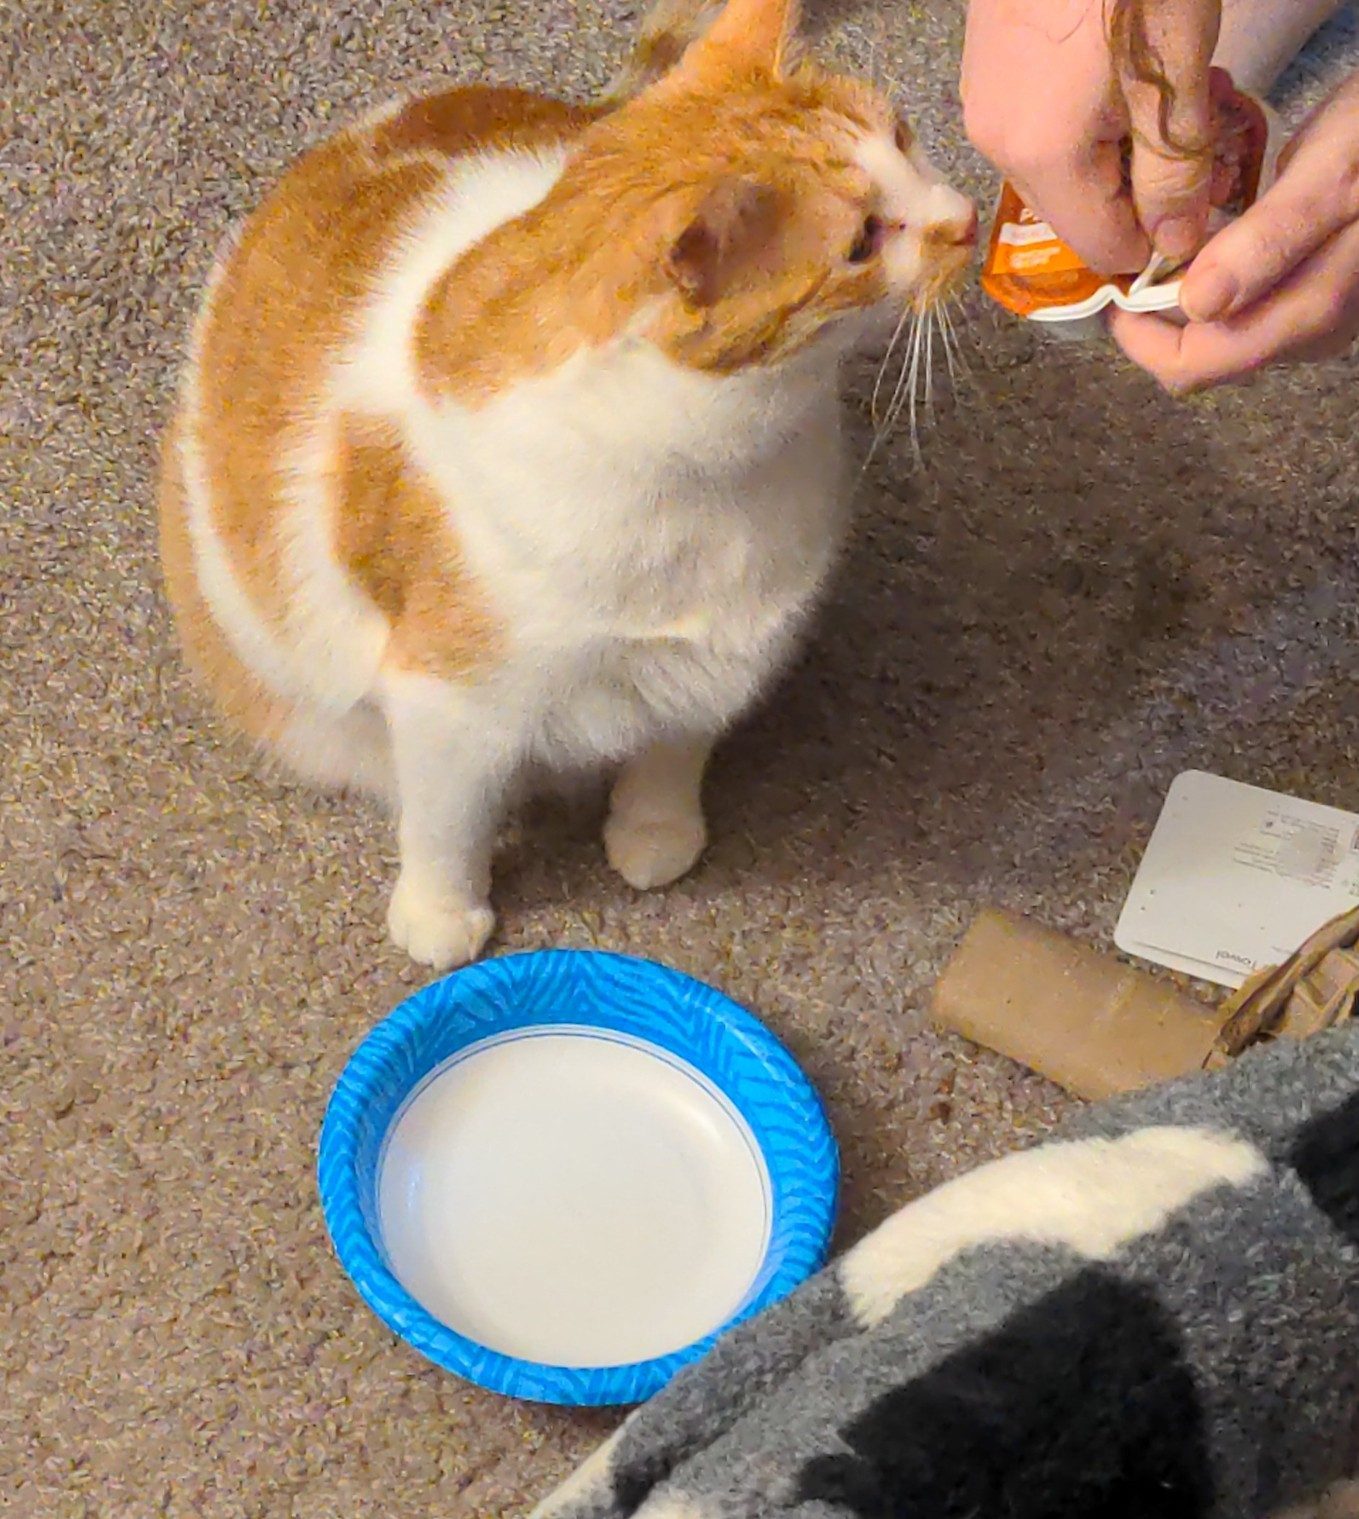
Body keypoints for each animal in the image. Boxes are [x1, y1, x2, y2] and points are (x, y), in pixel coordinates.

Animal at [159, 0, 977, 966]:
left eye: (904, 136)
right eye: (861, 242)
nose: (967, 217)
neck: (720, 465)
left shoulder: (718, 655)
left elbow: (673, 751)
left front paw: (656, 833)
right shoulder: (450, 706)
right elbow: (447, 822)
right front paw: (441, 915)